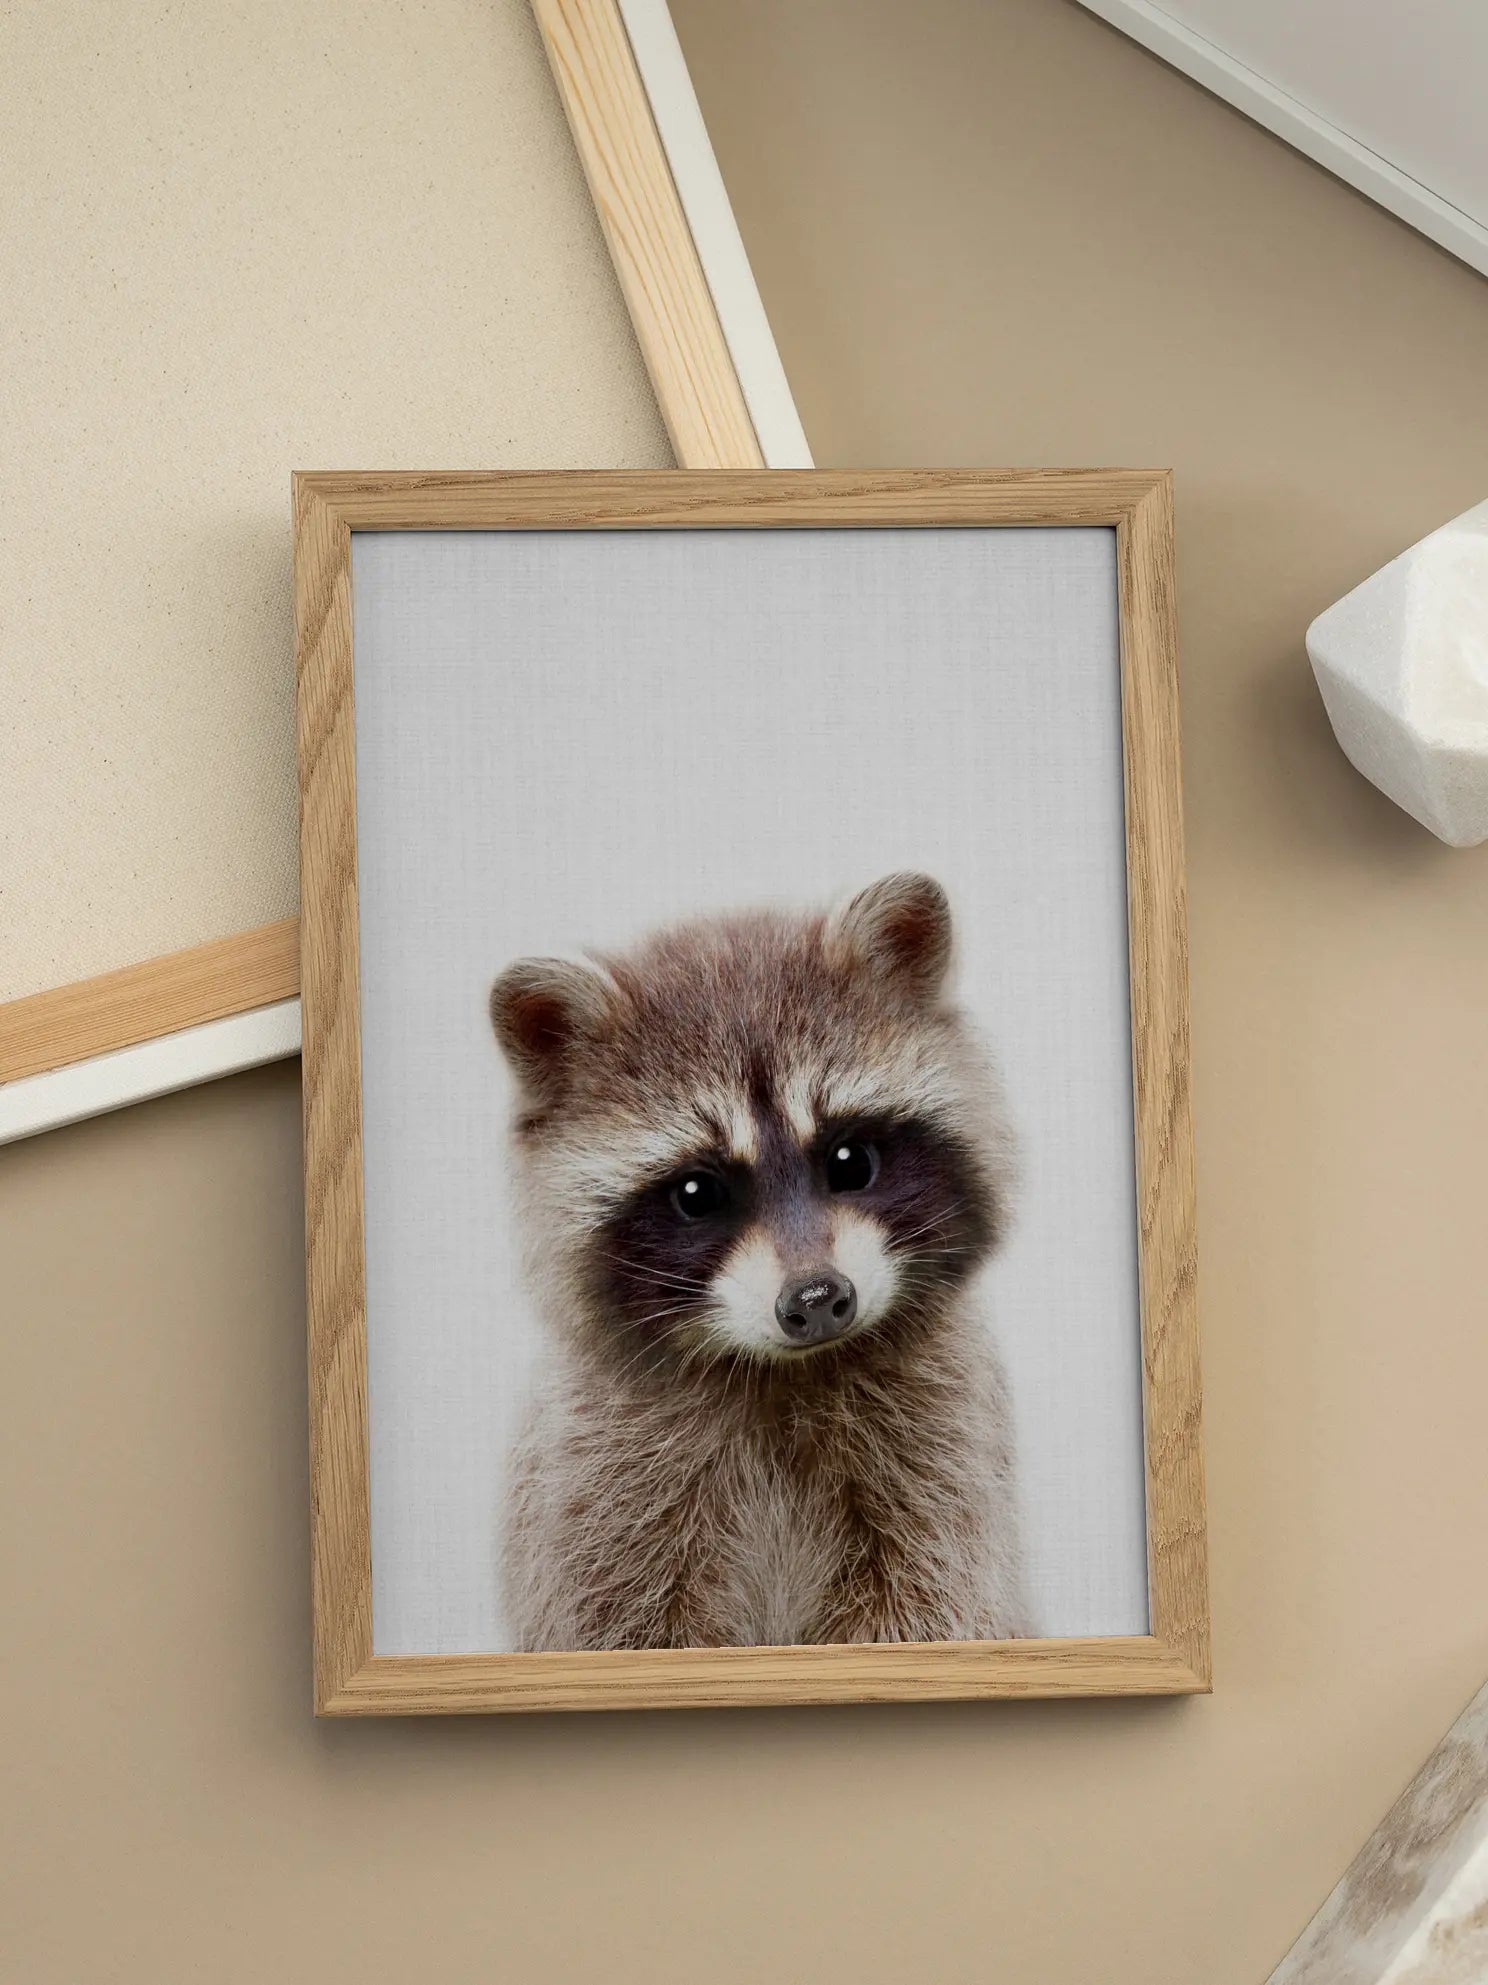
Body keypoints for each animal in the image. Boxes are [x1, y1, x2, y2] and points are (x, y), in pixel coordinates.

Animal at [489, 871, 1032, 1651]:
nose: (816, 1299)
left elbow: (931, 1600)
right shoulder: (594, 1484)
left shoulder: (945, 1451)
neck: (783, 1372)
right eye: (697, 1193)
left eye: (850, 1160)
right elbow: (616, 1620)